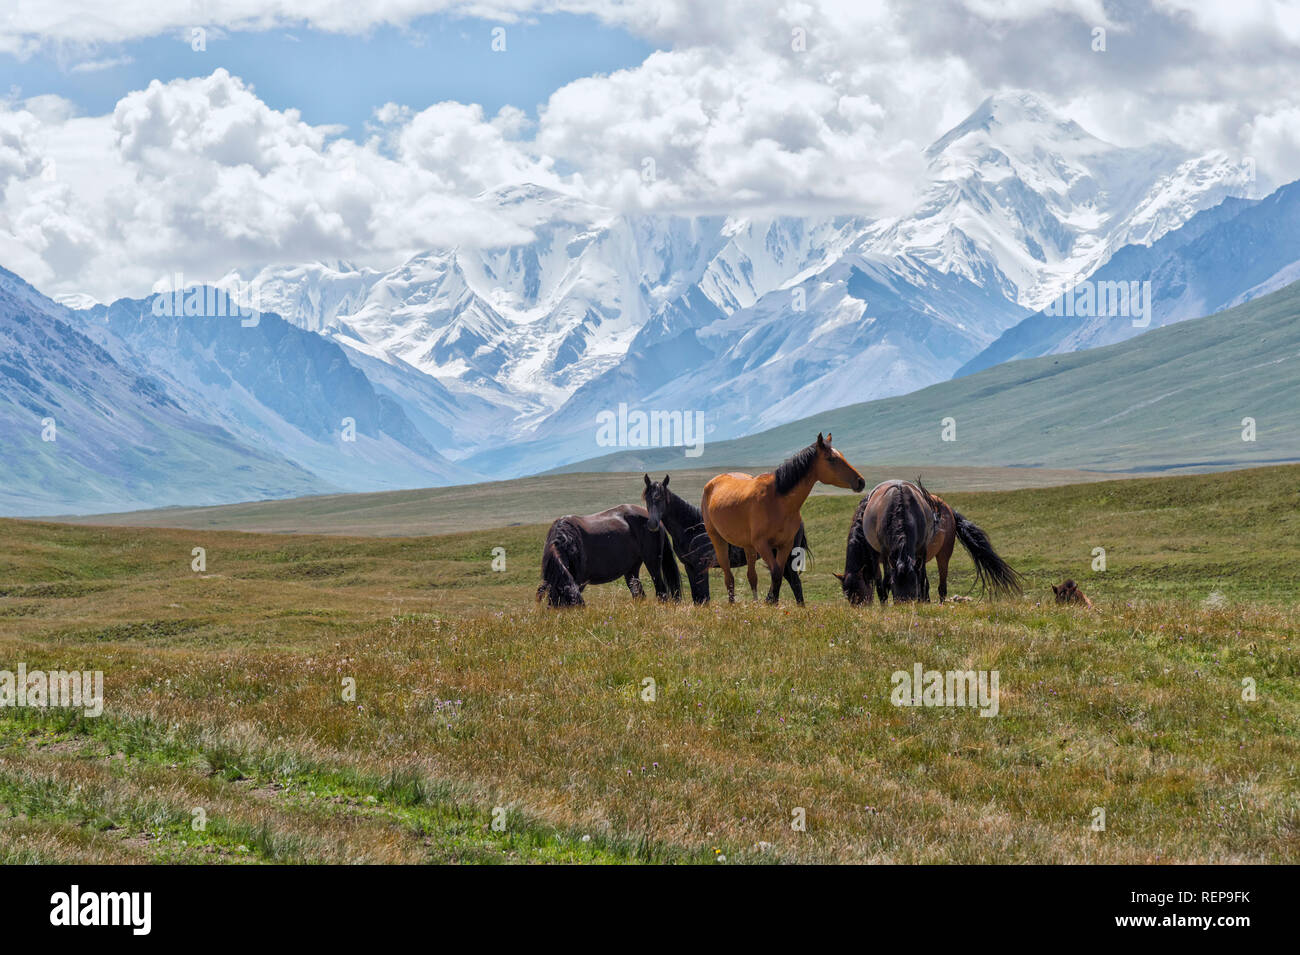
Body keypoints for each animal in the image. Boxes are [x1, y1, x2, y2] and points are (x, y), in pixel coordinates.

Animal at [642, 473, 811, 605]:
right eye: (647, 499)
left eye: (660, 498)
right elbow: (697, 598)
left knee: (794, 582)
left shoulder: (701, 567)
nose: (652, 524)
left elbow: (704, 598)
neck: (691, 527)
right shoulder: (690, 567)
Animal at [701, 433, 865, 604]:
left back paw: (755, 603)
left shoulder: (784, 545)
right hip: (718, 540)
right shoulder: (762, 545)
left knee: (752, 576)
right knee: (729, 577)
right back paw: (733, 604)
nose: (860, 481)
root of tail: (712, 483)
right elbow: (775, 573)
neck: (778, 500)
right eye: (831, 459)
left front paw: (773, 603)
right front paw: (772, 603)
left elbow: (778, 576)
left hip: (748, 546)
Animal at [836, 480, 1022, 604]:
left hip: (943, 555)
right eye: (848, 596)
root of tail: (948, 508)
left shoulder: (918, 551)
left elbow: (914, 581)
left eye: (859, 592)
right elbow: (885, 583)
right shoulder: (883, 556)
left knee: (941, 585)